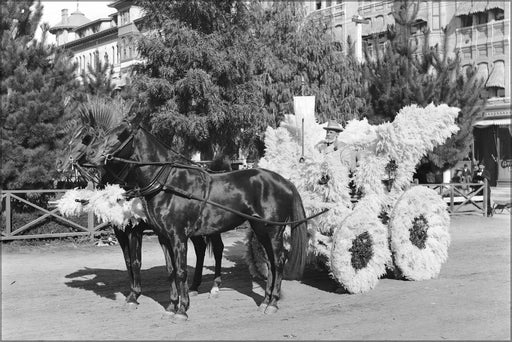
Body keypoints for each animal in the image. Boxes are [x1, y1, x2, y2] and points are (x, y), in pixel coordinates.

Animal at [56, 125, 226, 304]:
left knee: (218, 248)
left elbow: (136, 261)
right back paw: (194, 286)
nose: (59, 162)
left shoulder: (134, 230)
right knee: (200, 248)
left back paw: (215, 286)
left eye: (83, 139)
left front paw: (135, 293)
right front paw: (133, 291)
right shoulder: (120, 231)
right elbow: (128, 261)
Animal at [85, 121, 308, 320]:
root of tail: (285, 182)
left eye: (120, 135)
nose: (90, 154)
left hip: (273, 231)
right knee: (269, 262)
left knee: (278, 261)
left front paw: (182, 310)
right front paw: (171, 306)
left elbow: (180, 271)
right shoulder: (164, 238)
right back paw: (266, 300)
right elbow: (170, 271)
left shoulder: (177, 237)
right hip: (260, 229)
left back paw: (272, 303)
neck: (167, 184)